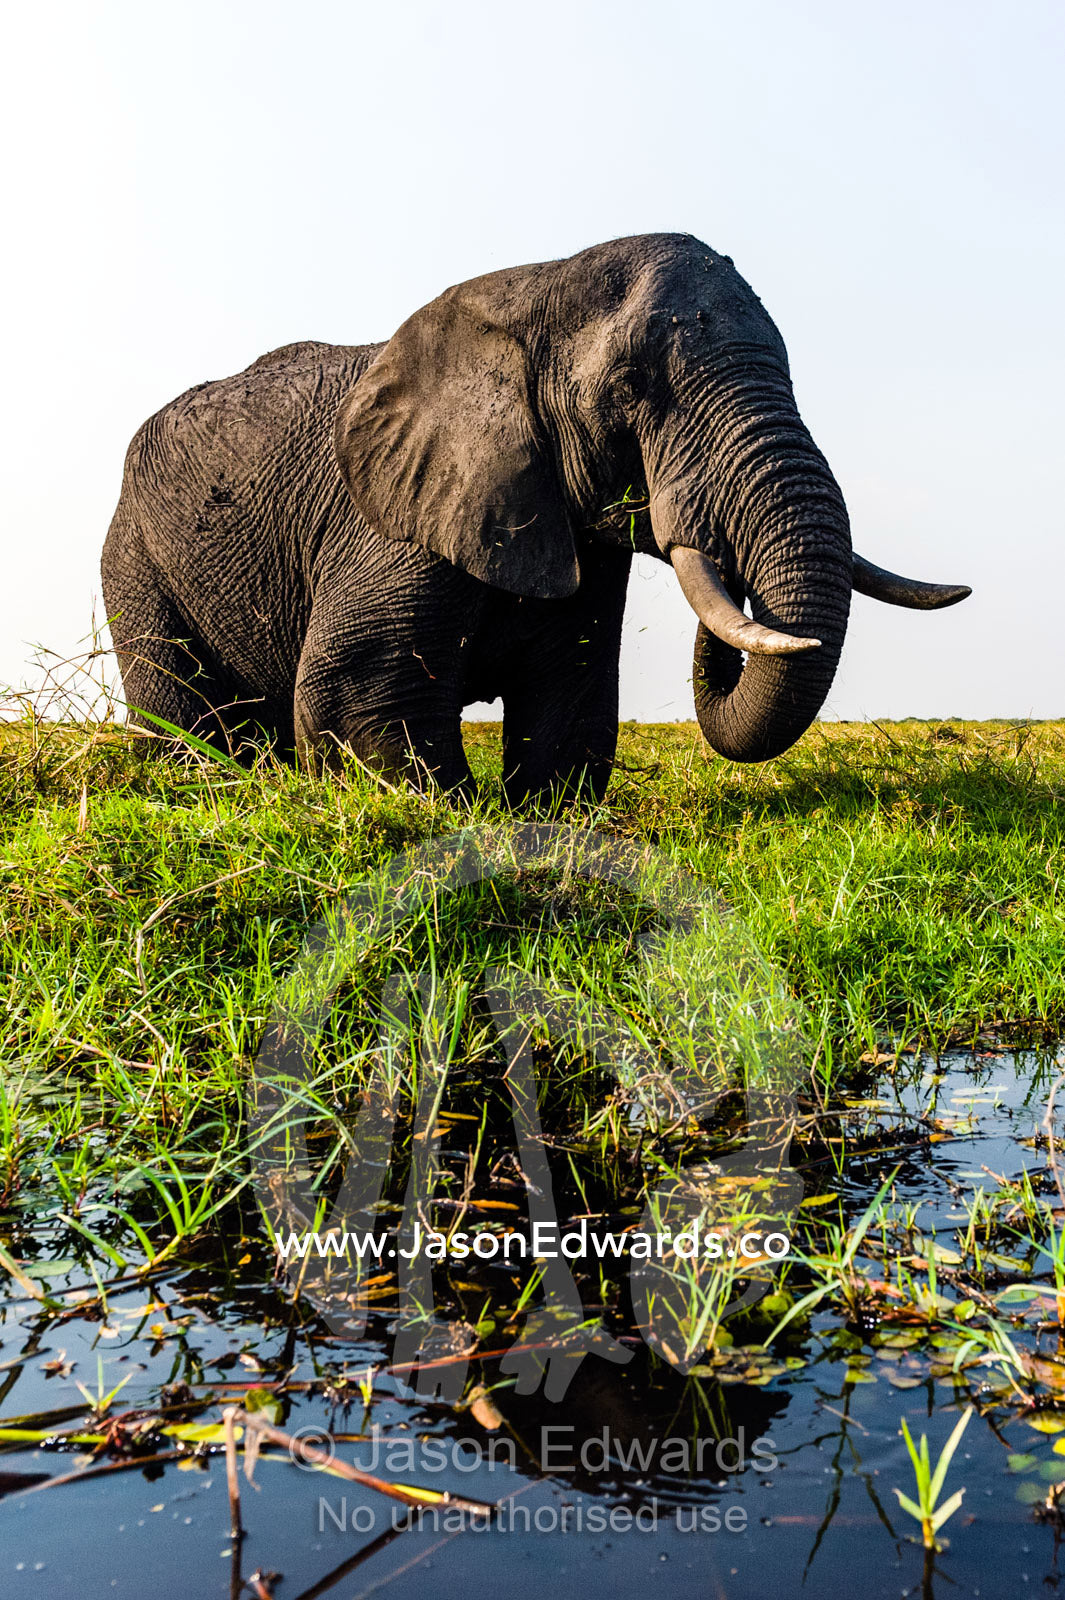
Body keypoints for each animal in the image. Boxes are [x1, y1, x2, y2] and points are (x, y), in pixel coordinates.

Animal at [102, 232, 969, 803]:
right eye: (627, 389)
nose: (724, 555)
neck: (530, 291)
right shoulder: (390, 522)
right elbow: (357, 691)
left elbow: (571, 702)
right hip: (133, 560)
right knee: (184, 714)